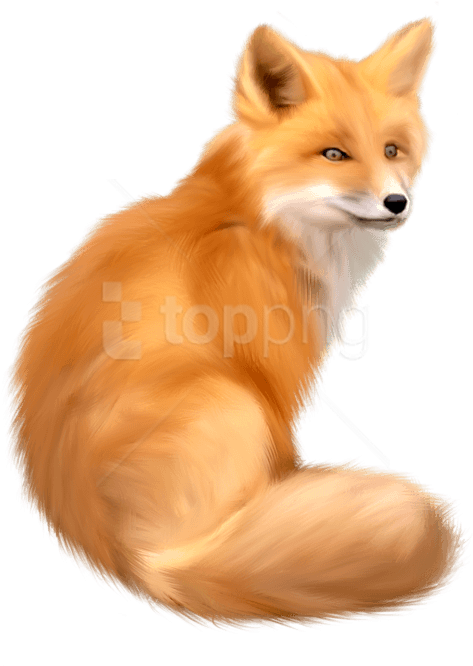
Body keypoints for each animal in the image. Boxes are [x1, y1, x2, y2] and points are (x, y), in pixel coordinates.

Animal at [5, 17, 469, 631]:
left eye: (392, 149)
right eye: (334, 154)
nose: (397, 202)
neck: (261, 219)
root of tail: (133, 565)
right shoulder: (272, 372)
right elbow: (287, 452)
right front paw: (300, 495)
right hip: (233, 402)